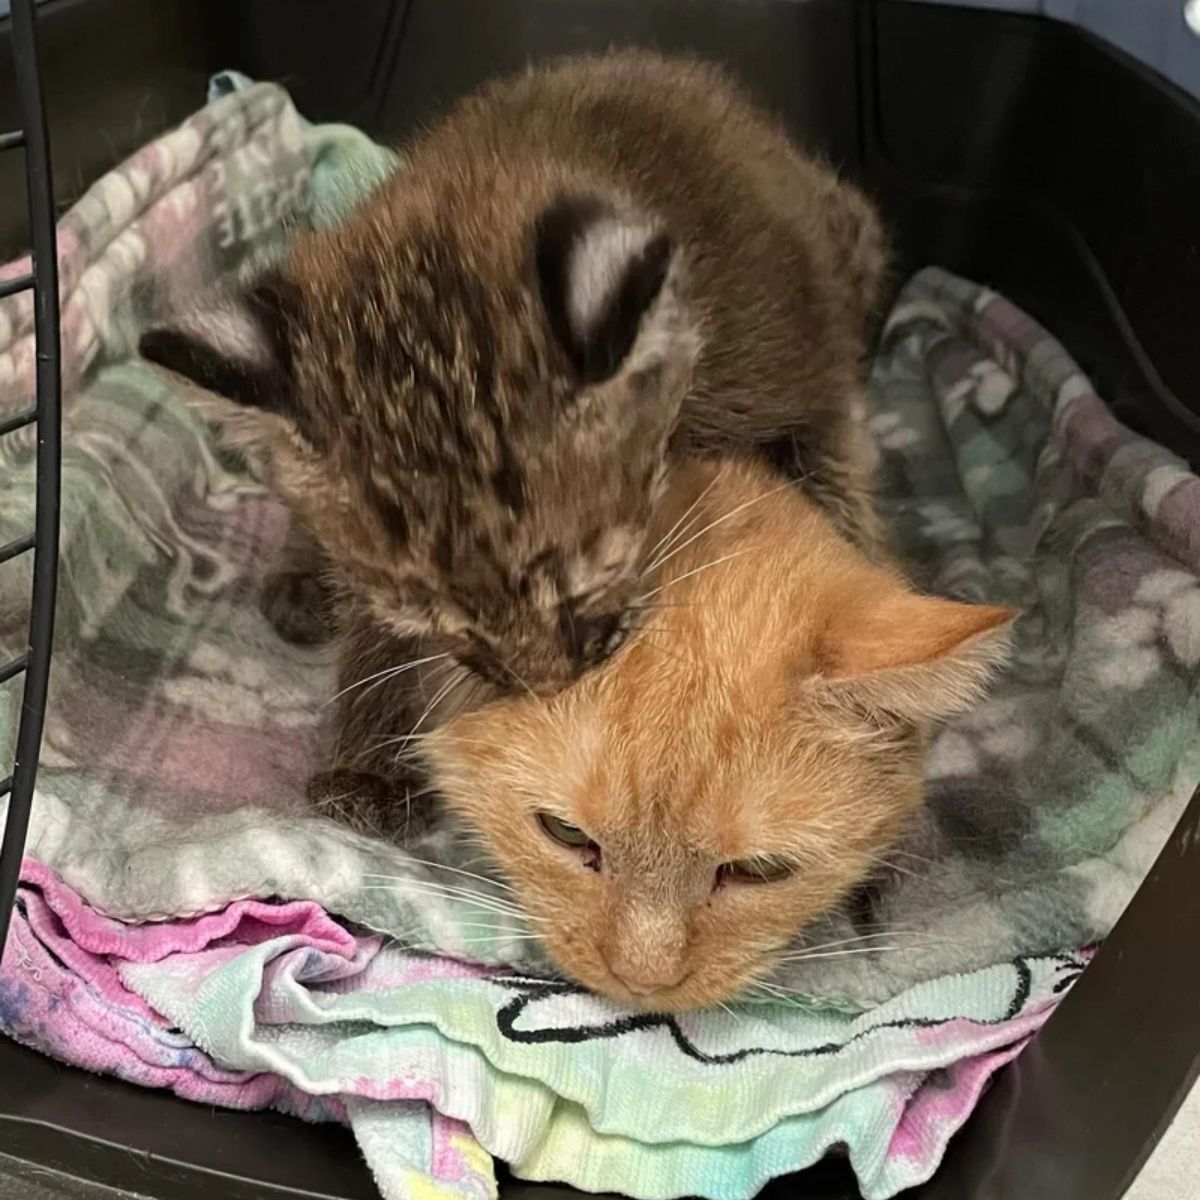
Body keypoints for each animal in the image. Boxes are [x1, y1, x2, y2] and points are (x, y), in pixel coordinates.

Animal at [142, 46, 892, 816]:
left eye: (590, 574)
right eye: (426, 612)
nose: (549, 685)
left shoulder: (805, 392)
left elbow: (831, 507)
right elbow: (377, 634)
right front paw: (372, 759)